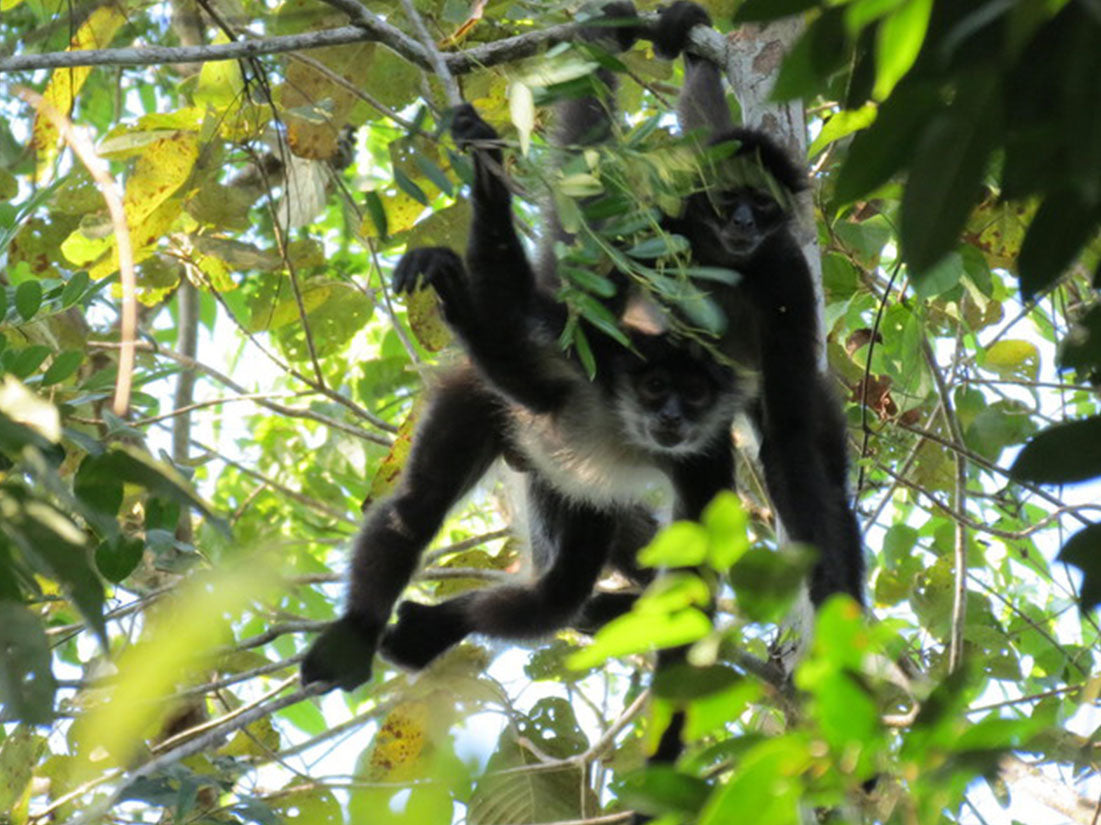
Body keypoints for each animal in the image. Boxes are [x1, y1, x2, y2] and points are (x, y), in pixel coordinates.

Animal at [297, 4, 739, 687]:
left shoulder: (708, 459)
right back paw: (358, 632)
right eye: (655, 387)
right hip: (475, 404)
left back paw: (445, 628)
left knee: (559, 588)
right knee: (418, 507)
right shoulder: (590, 362)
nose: (670, 416)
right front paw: (483, 186)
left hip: (562, 483)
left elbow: (690, 589)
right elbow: (513, 358)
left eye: (693, 395)